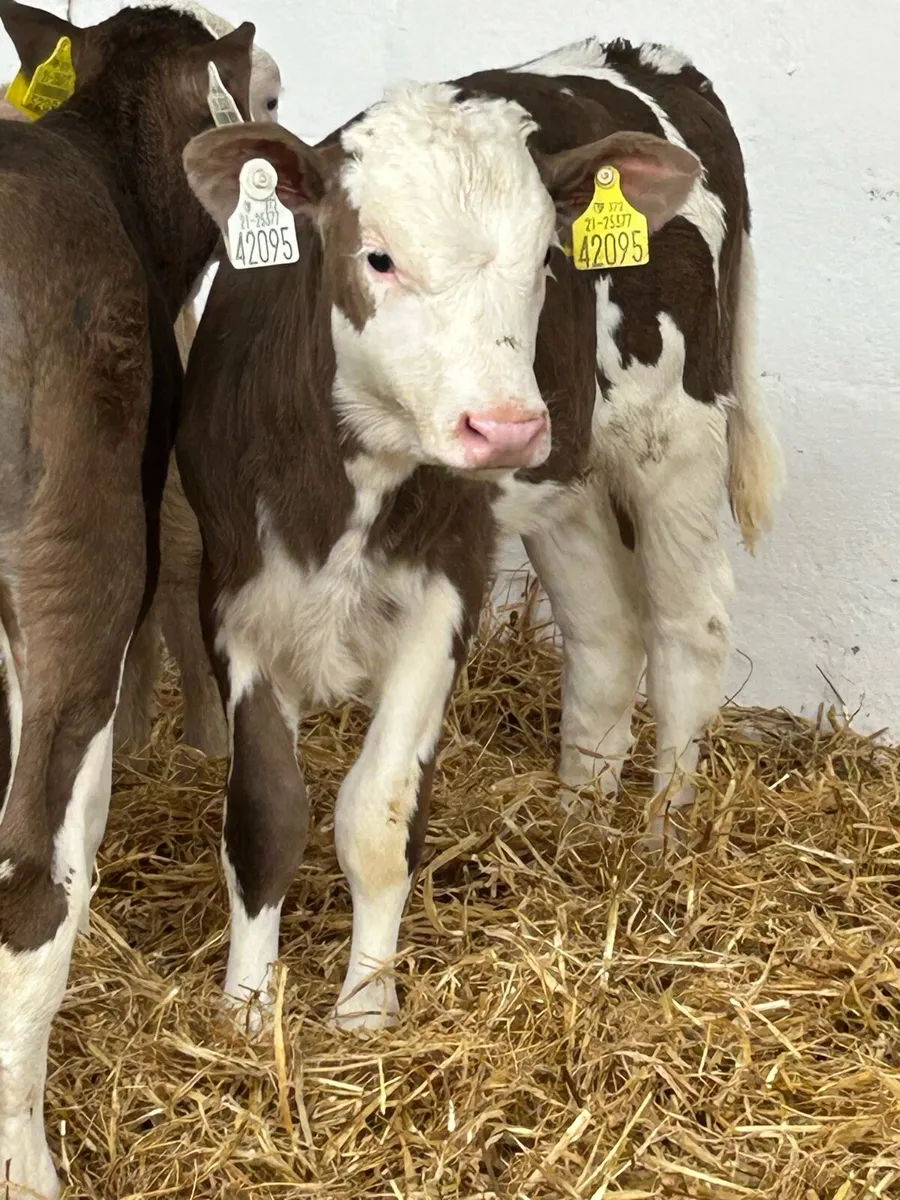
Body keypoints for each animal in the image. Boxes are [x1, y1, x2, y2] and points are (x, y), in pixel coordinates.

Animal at [178, 37, 781, 1038]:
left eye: (545, 260)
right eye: (378, 257)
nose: (503, 425)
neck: (343, 485)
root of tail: (649, 57)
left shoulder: (447, 585)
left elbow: (375, 817)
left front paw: (364, 1013)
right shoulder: (234, 589)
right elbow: (265, 814)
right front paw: (247, 1014)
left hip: (677, 435)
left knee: (688, 632)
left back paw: (663, 841)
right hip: (566, 480)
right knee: (605, 639)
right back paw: (577, 826)